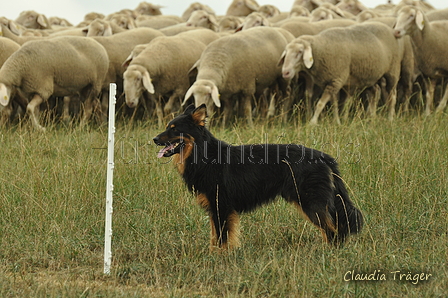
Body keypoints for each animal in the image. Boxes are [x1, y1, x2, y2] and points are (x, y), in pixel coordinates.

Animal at [154, 103, 364, 250]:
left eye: (174, 128)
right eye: (167, 126)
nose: (154, 139)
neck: (204, 155)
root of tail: (322, 156)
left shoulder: (221, 206)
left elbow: (222, 238)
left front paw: (220, 258)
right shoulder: (216, 209)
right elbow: (215, 237)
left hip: (311, 202)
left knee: (332, 230)